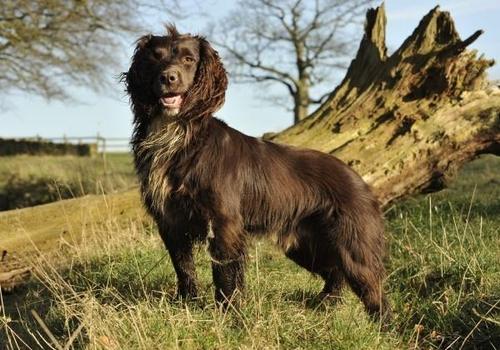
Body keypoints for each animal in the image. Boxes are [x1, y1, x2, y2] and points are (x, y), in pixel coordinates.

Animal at [122, 25, 390, 322]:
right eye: (154, 58)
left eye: (188, 59)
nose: (168, 78)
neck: (177, 134)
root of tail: (359, 179)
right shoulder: (170, 221)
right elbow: (184, 267)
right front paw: (187, 304)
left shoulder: (224, 222)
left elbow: (225, 274)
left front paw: (229, 315)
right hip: (305, 245)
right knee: (335, 273)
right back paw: (324, 306)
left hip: (354, 245)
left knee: (375, 292)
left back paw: (381, 325)